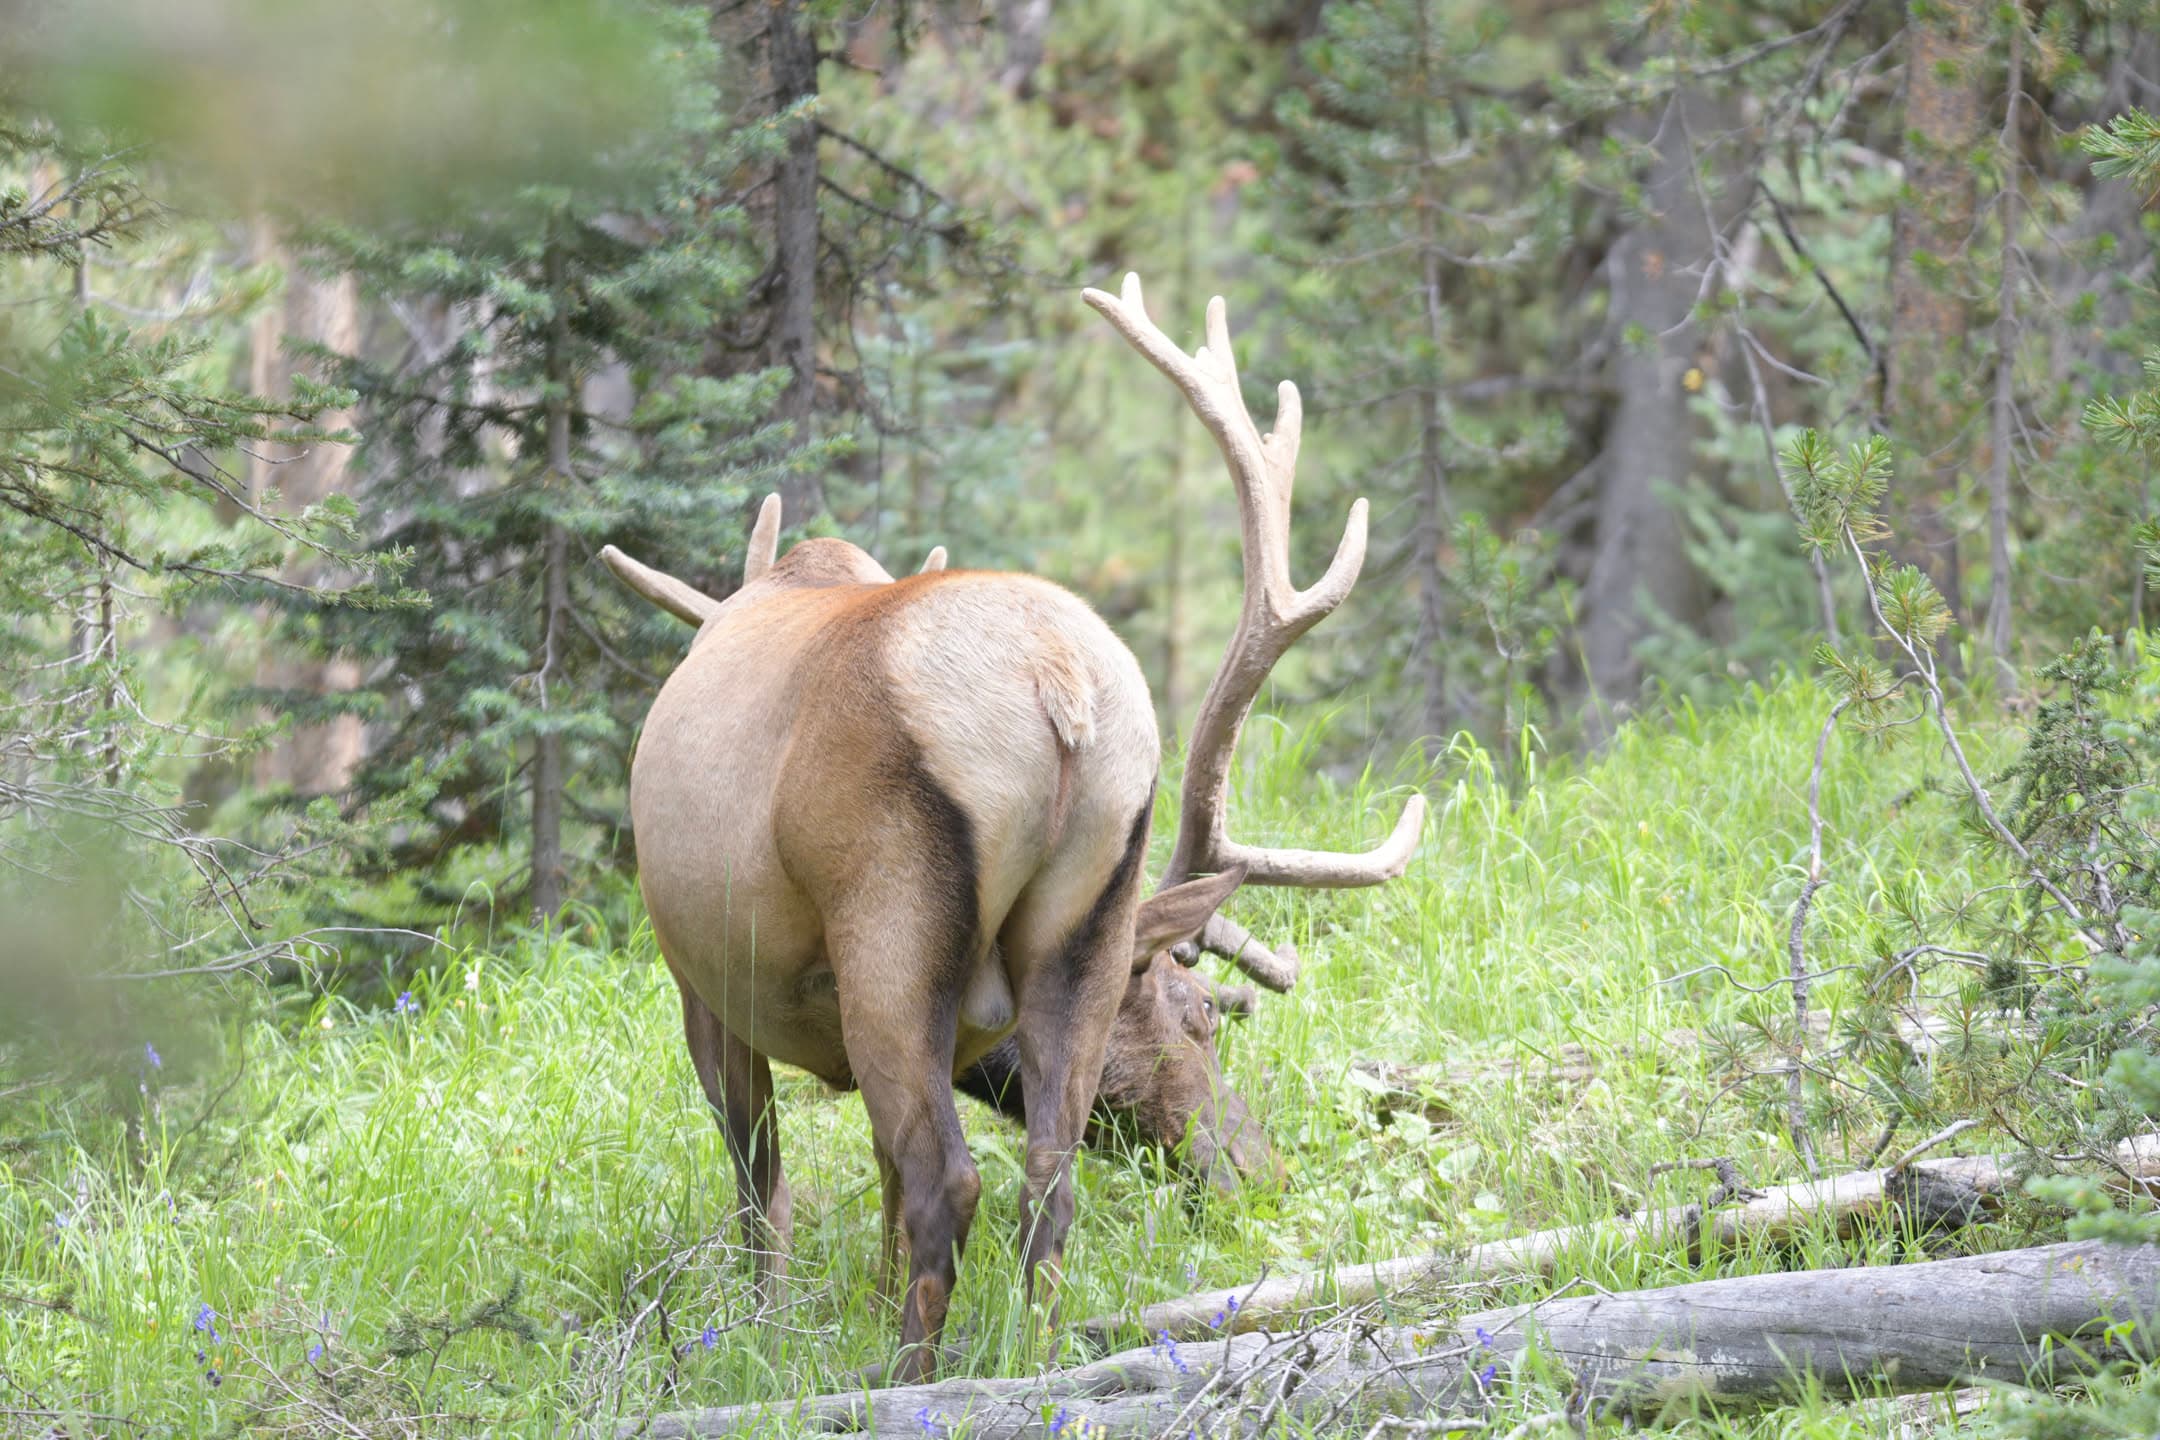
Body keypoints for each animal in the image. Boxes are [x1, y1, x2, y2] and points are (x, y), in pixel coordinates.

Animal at [599, 273, 1425, 1381]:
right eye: (1200, 1017)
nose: (1260, 1174)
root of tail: (1057, 681)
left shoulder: (706, 980)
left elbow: (764, 1190)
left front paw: (764, 1338)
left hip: (889, 923)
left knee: (949, 1181)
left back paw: (904, 1381)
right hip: (1082, 922)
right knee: (1047, 1175)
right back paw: (1032, 1361)